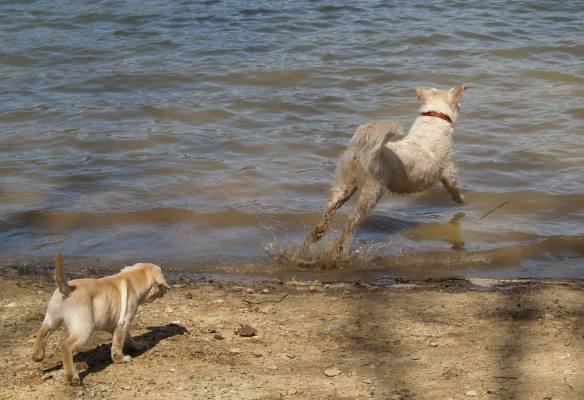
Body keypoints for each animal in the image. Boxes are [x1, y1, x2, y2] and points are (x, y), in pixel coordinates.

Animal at [32, 253, 170, 384]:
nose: (164, 292)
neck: (132, 278)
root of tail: (67, 290)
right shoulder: (123, 322)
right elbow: (118, 344)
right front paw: (121, 359)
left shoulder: (116, 325)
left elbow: (128, 338)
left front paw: (136, 346)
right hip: (84, 329)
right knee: (66, 347)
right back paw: (73, 377)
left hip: (52, 319)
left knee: (42, 331)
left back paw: (37, 355)